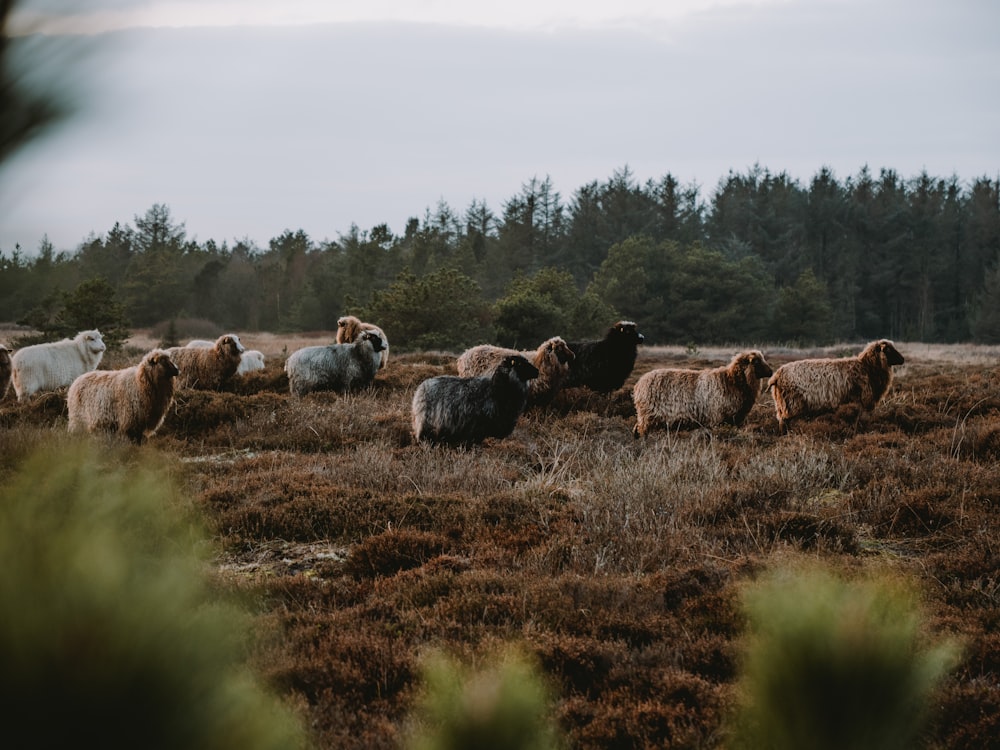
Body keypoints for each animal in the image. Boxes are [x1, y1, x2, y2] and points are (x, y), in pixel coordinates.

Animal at [412, 352, 544, 446]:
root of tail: (421, 389)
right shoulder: (478, 426)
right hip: (427, 421)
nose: (537, 371)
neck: (497, 389)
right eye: (520, 364)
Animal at [632, 352, 772, 438]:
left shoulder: (734, 419)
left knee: (637, 428)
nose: (771, 372)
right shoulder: (717, 418)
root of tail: (639, 384)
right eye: (756, 362)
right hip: (648, 416)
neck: (731, 381)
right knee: (642, 431)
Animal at [764, 340, 908, 434]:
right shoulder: (858, 401)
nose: (902, 359)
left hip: (781, 404)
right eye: (888, 350)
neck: (867, 367)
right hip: (792, 404)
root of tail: (776, 376)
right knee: (784, 422)